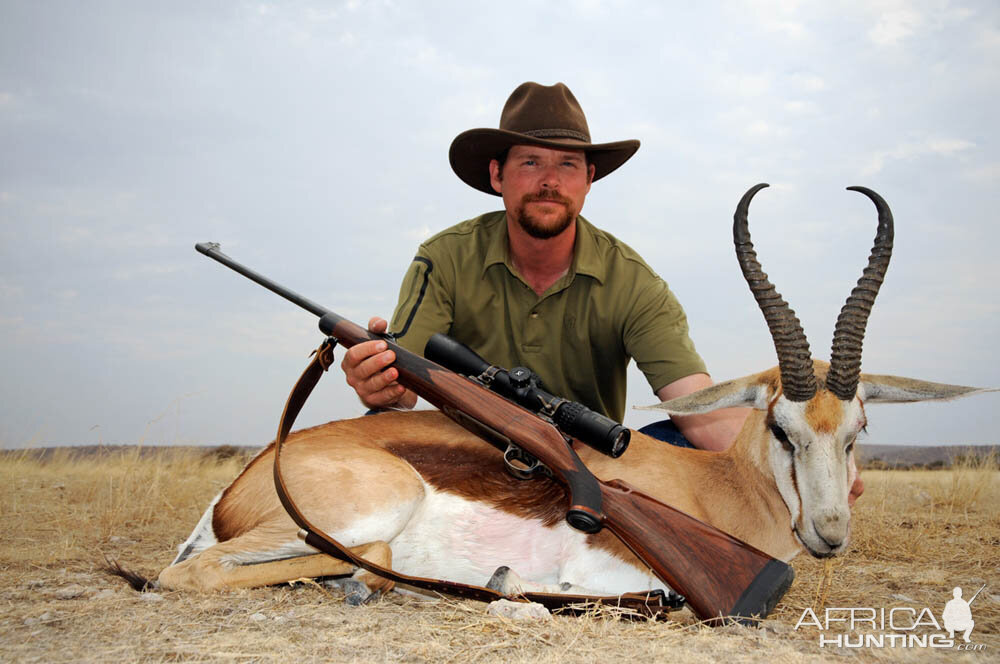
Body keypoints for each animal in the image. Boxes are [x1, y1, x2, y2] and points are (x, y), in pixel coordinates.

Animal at [123, 184, 984, 604]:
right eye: (782, 428)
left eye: (859, 429)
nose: (830, 535)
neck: (720, 493)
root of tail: (240, 484)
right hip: (365, 511)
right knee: (194, 573)